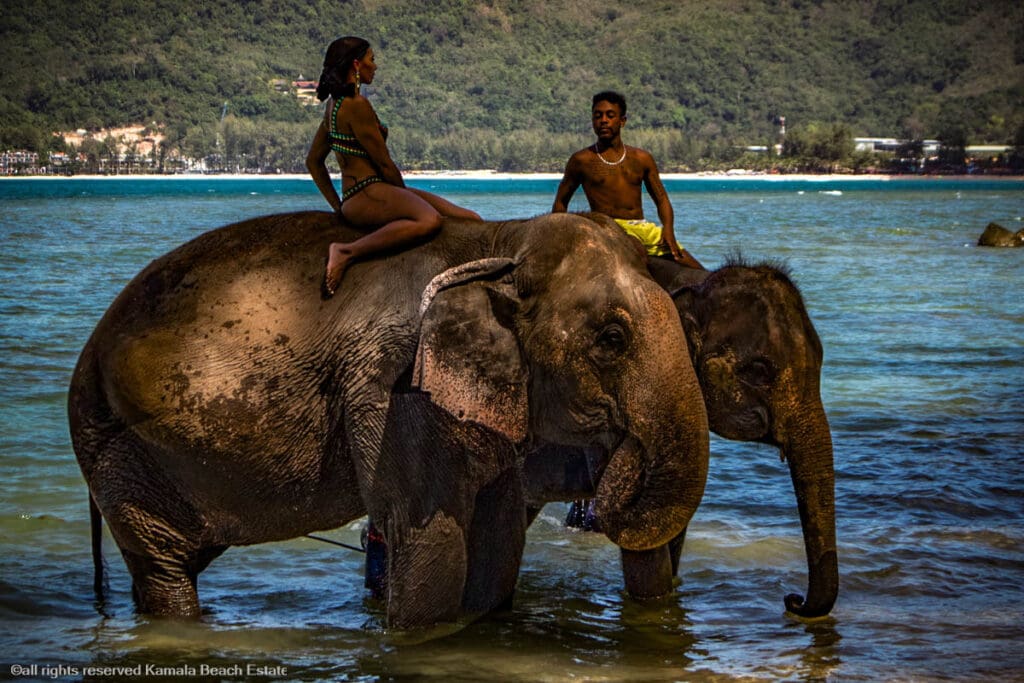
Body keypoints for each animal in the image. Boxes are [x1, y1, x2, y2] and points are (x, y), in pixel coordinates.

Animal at [68, 209, 712, 630]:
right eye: (611, 339)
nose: (610, 465)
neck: (499, 240)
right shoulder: (394, 384)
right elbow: (433, 542)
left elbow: (499, 539)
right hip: (120, 455)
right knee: (163, 566)